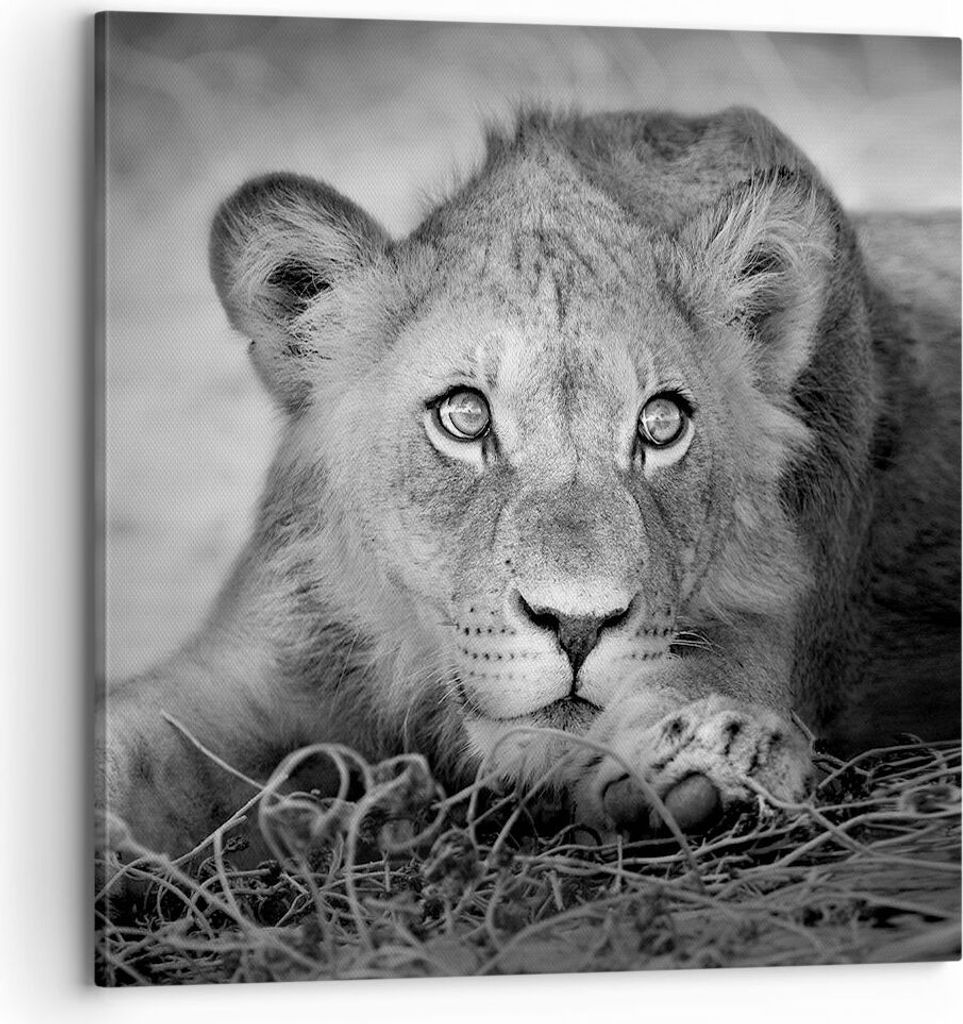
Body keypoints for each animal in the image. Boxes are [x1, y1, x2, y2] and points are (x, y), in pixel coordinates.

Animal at [97, 107, 960, 860]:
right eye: (463, 416)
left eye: (661, 424)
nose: (576, 627)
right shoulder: (273, 654)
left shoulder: (771, 608)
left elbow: (713, 675)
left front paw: (711, 762)